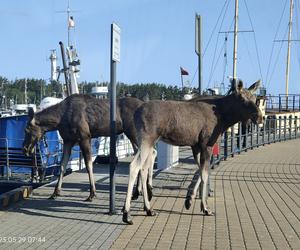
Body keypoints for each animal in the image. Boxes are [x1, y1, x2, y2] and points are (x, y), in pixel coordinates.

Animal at [122, 79, 262, 224]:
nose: (259, 117)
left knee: (143, 169)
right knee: (134, 166)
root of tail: (136, 113)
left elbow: (201, 171)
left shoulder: (196, 146)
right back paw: (127, 214)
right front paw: (205, 207)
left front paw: (189, 200)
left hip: (149, 143)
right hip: (146, 139)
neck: (225, 118)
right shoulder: (206, 144)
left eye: (255, 98)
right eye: (242, 99)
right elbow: (205, 173)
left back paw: (148, 209)